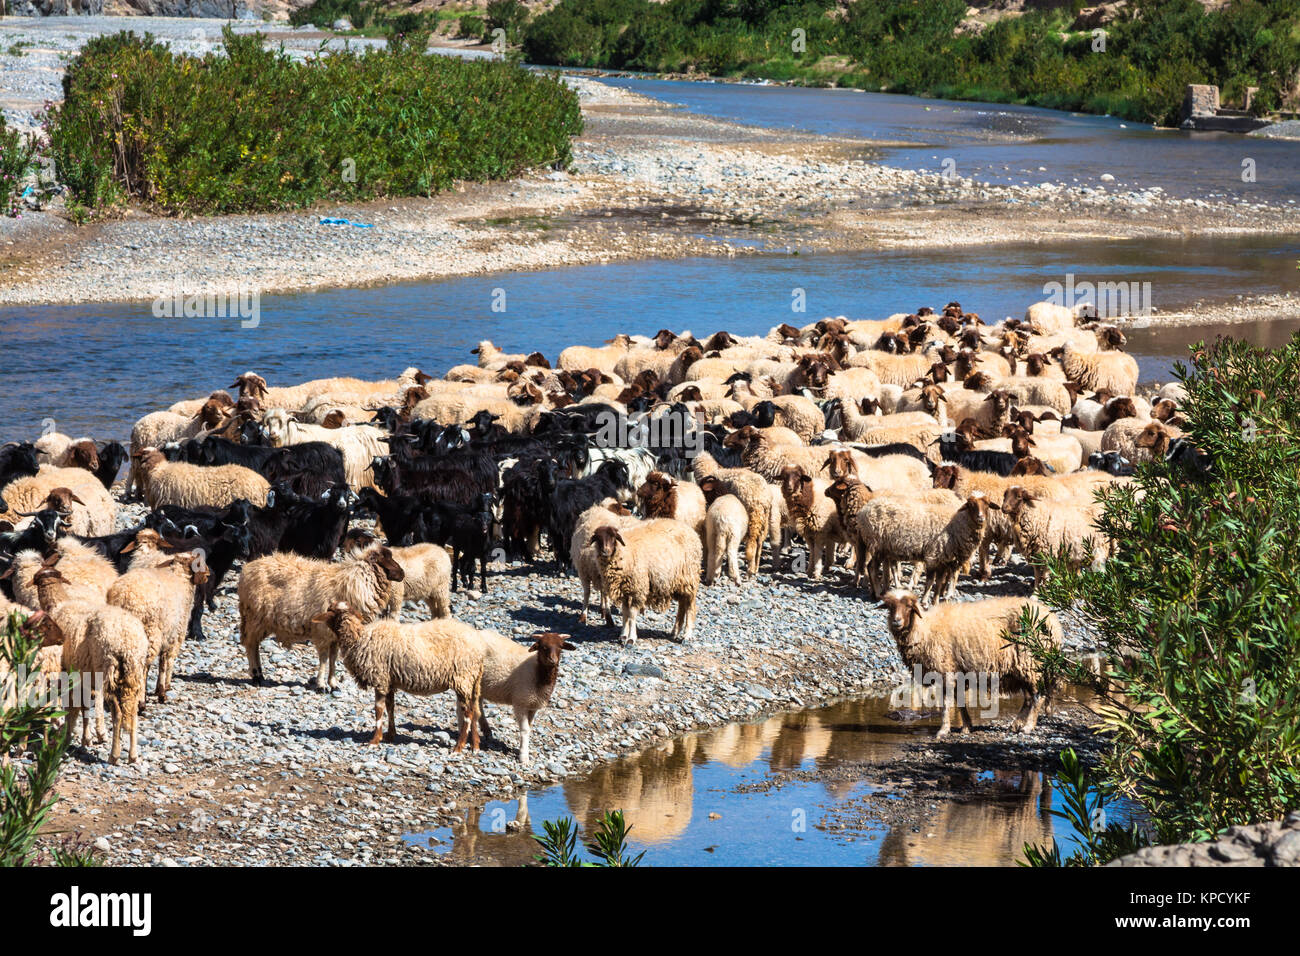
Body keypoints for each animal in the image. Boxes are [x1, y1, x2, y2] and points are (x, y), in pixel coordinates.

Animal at [236, 541, 403, 691]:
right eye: (386, 560)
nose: (402, 574)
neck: (355, 581)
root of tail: (247, 569)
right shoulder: (323, 632)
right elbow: (323, 659)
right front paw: (321, 685)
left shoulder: (335, 636)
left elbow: (333, 658)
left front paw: (333, 684)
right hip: (254, 618)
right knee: (250, 645)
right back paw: (256, 675)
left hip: (260, 621)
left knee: (254, 645)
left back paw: (260, 675)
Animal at [310, 600, 488, 749]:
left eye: (330, 611)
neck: (360, 639)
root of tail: (479, 647)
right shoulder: (390, 681)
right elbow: (391, 707)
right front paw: (390, 735)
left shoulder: (380, 678)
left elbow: (379, 709)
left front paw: (375, 739)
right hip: (472, 681)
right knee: (475, 711)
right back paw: (475, 746)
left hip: (463, 678)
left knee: (468, 713)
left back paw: (459, 747)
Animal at [878, 590, 1060, 738]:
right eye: (890, 607)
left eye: (909, 606)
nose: (896, 621)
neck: (924, 629)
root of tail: (1053, 622)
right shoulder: (957, 672)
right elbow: (959, 701)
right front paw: (966, 727)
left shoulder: (946, 670)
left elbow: (946, 704)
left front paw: (943, 731)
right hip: (1022, 668)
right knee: (1028, 699)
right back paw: (1015, 725)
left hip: (1031, 662)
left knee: (1038, 697)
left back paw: (1027, 727)